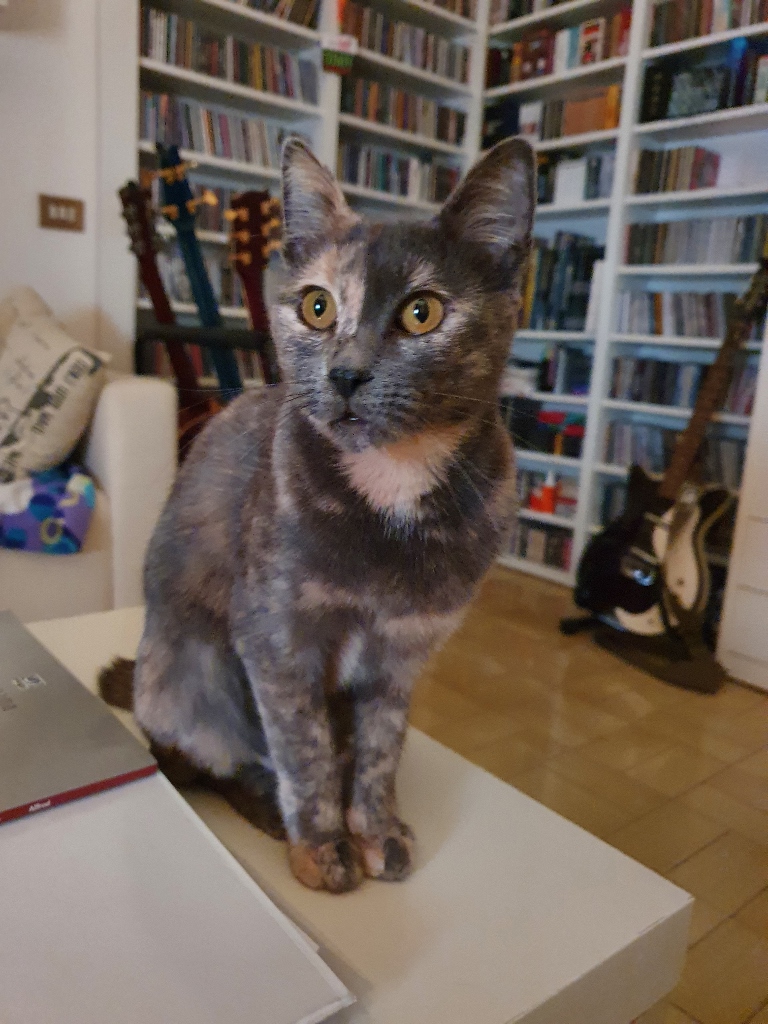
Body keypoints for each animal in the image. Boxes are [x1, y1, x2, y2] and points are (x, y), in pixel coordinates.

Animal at [99, 136, 535, 893]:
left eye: (422, 312)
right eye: (317, 307)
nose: (346, 374)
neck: (393, 488)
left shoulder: (402, 653)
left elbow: (380, 749)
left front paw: (378, 829)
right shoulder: (277, 640)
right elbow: (303, 751)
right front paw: (323, 846)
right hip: (187, 673)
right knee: (195, 758)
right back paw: (265, 808)